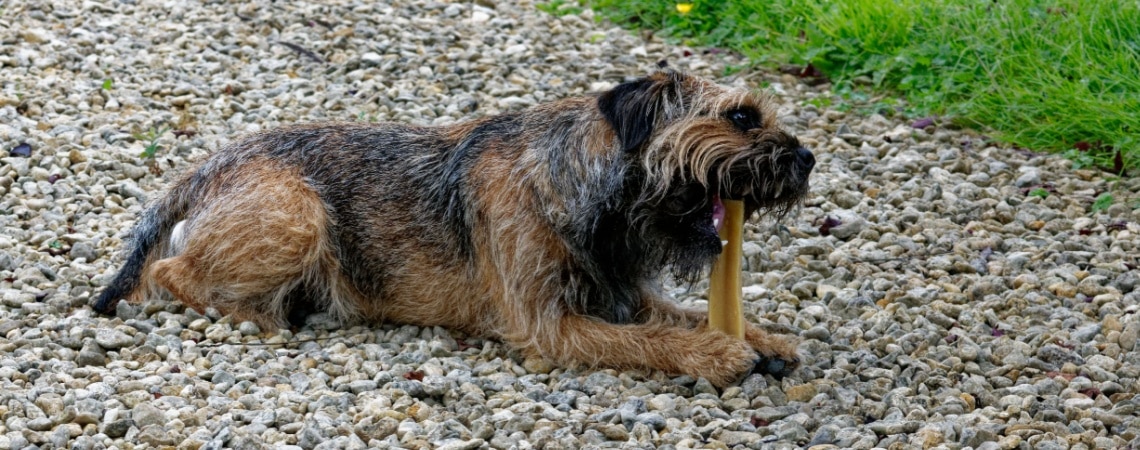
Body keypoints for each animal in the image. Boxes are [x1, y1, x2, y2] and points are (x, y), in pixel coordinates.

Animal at [93, 71, 816, 387]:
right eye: (741, 117)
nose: (807, 158)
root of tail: (204, 166)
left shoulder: (622, 291)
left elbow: (680, 315)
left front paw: (759, 335)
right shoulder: (549, 324)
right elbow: (651, 341)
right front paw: (716, 354)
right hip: (297, 211)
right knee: (170, 272)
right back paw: (260, 316)